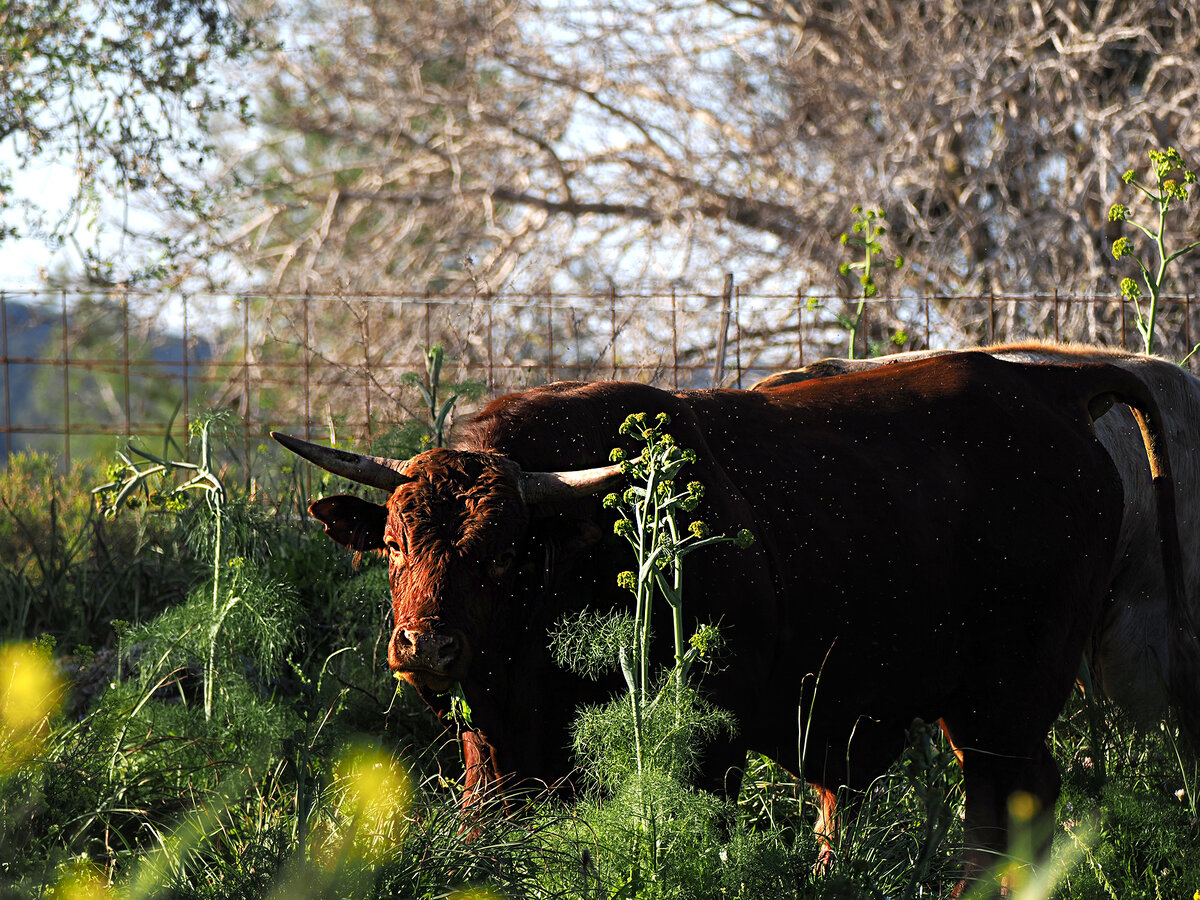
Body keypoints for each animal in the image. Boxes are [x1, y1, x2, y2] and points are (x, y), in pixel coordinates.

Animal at [276, 355, 1185, 888]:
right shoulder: (492, 747)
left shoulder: (712, 738)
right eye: (394, 544)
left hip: (1003, 701)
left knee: (999, 810)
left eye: (502, 556)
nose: (424, 644)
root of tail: (1047, 387)